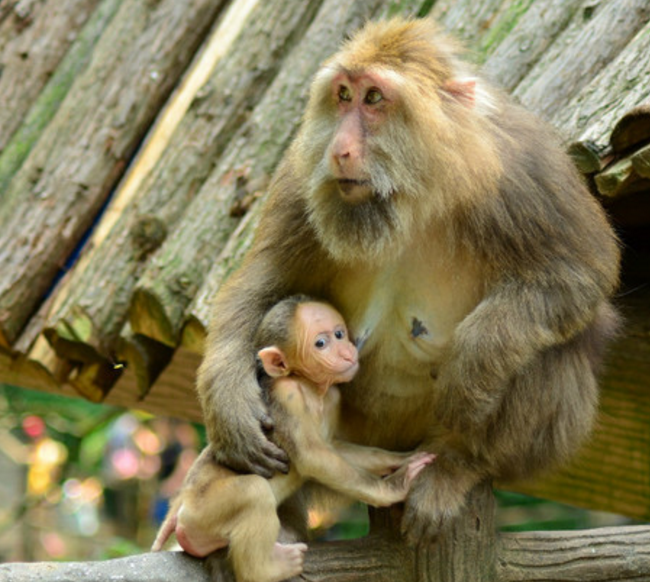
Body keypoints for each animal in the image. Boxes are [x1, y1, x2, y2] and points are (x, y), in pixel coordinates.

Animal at [152, 296, 432, 582]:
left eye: (339, 334)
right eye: (321, 343)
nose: (346, 351)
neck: (310, 388)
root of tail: (182, 508)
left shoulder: (332, 398)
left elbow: (334, 448)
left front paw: (400, 458)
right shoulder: (289, 396)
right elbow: (312, 457)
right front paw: (393, 487)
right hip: (203, 512)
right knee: (254, 492)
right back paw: (268, 569)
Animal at [196, 17, 616, 544]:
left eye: (374, 98)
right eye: (343, 95)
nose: (339, 149)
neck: (411, 193)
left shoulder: (524, 169)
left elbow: (577, 276)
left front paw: (474, 360)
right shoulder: (299, 173)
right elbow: (265, 282)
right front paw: (229, 400)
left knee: (549, 349)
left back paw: (459, 466)